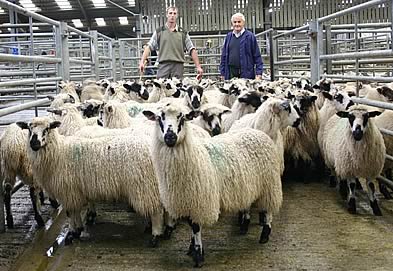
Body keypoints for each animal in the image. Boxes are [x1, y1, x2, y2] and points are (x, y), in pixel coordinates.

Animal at [16, 118, 164, 248]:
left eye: (47, 129)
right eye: (29, 129)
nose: (34, 143)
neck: (58, 152)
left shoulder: (68, 191)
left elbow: (70, 212)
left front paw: (71, 234)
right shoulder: (76, 191)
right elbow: (75, 211)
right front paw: (78, 229)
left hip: (145, 185)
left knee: (157, 210)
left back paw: (155, 235)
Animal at [143, 103, 282, 268]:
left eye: (182, 118)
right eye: (159, 118)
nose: (170, 137)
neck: (195, 155)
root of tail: (257, 132)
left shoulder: (200, 200)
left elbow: (195, 227)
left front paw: (198, 255)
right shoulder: (188, 200)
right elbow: (191, 225)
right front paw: (191, 249)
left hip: (270, 183)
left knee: (268, 209)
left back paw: (265, 234)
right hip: (248, 185)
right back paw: (244, 226)